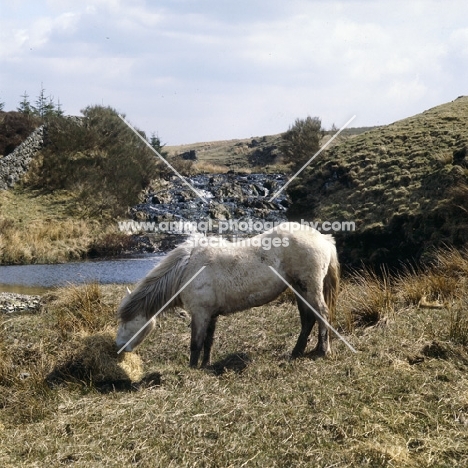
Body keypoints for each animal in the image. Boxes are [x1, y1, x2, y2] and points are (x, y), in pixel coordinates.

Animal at [115, 223, 338, 370]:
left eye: (127, 322)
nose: (118, 347)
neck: (187, 269)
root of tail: (323, 238)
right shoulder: (210, 315)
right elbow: (208, 342)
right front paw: (205, 365)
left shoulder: (200, 314)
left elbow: (196, 343)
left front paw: (192, 368)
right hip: (299, 289)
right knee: (308, 318)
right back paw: (297, 352)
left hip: (310, 288)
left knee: (321, 314)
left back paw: (323, 350)